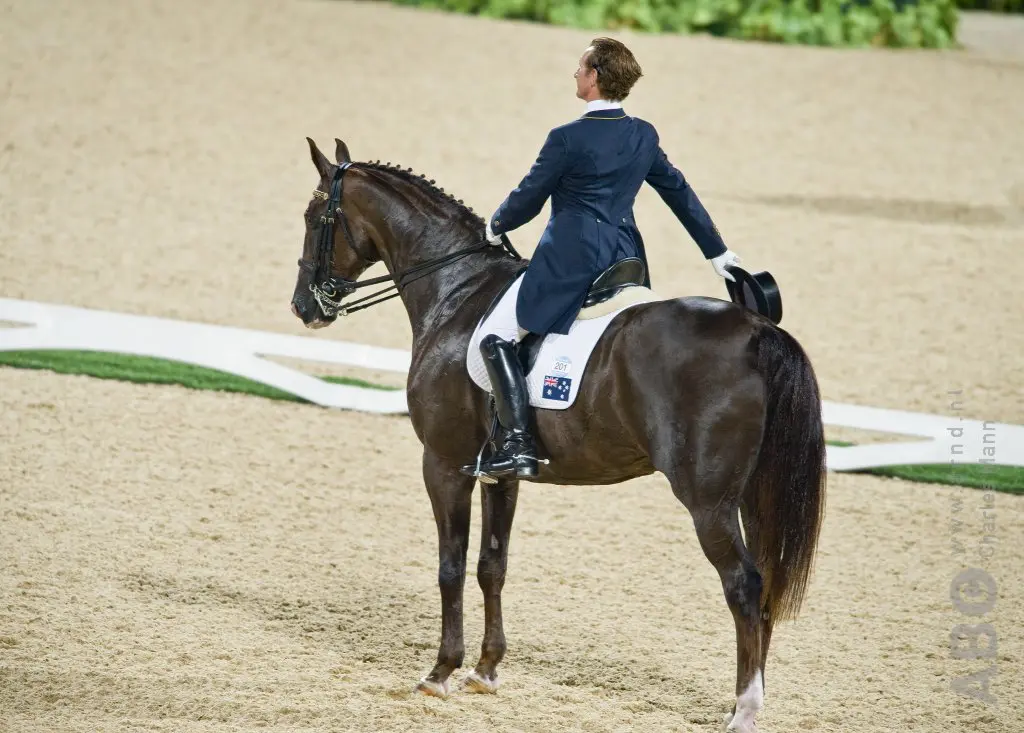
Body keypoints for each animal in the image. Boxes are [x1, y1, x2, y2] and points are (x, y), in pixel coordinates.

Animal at [289, 137, 828, 733]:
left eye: (314, 216)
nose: (305, 307)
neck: (456, 291)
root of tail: (758, 330)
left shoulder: (443, 463)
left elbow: (450, 567)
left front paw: (440, 672)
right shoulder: (499, 474)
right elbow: (492, 566)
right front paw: (485, 670)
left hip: (708, 501)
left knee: (744, 585)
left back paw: (745, 710)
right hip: (755, 494)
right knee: (767, 586)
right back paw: (747, 699)